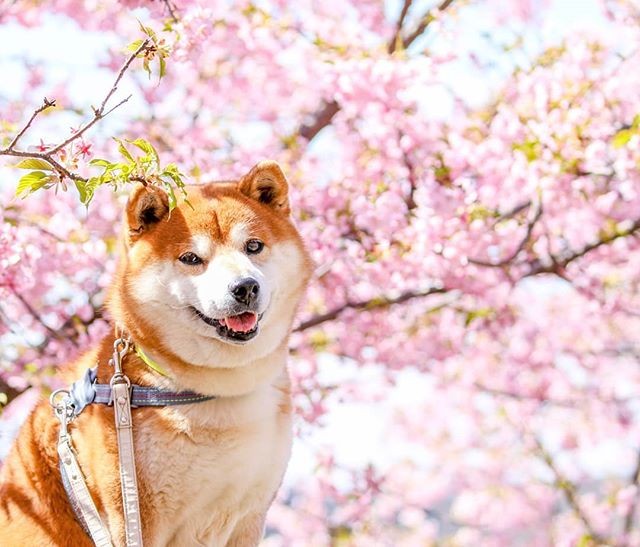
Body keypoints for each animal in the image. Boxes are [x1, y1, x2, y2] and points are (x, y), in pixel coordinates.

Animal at [0, 163, 312, 547]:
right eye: (191, 258)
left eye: (254, 246)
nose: (245, 287)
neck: (214, 392)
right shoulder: (132, 512)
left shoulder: (249, 515)